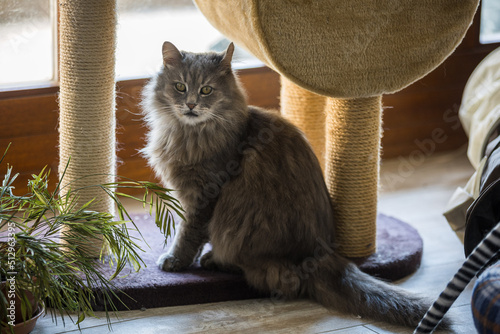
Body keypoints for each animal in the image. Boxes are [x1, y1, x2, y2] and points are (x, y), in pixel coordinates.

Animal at [140, 41, 446, 328]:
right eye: (180, 87)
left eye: (206, 90)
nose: (191, 104)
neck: (189, 133)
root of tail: (321, 255)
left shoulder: (204, 194)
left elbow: (188, 234)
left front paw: (175, 261)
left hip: (242, 232)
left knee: (271, 276)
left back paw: (213, 260)